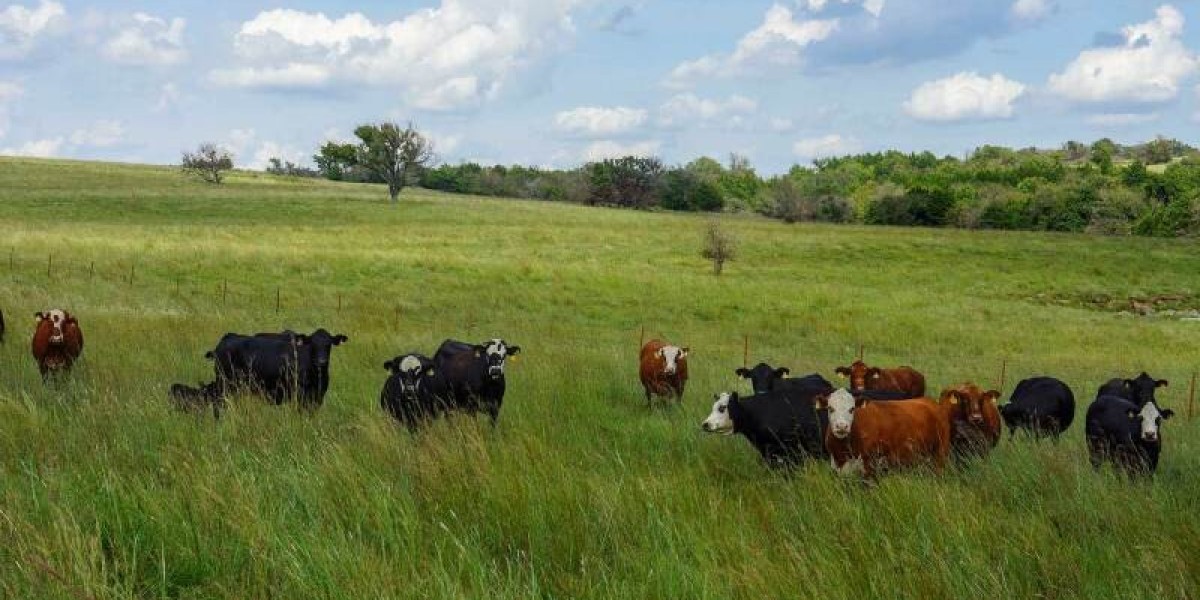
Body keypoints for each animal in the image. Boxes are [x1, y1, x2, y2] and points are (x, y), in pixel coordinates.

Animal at [206, 328, 347, 409]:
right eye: (313, 344)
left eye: (328, 344)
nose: (321, 362)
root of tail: (228, 337)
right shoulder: (300, 396)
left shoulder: (318, 397)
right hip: (224, 383)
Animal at [816, 389, 949, 480]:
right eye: (830, 408)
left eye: (852, 409)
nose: (842, 426)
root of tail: (931, 402)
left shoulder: (869, 470)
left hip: (939, 456)